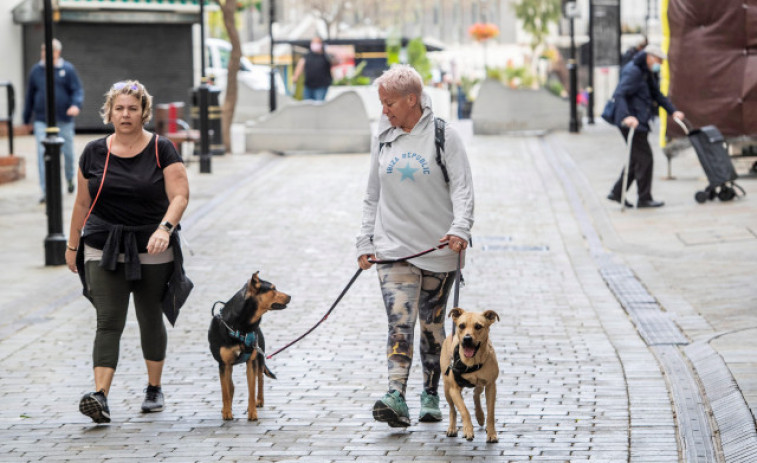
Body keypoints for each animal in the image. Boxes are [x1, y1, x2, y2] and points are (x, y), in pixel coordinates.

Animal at [207, 272, 290, 420]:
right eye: (273, 288)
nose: (290, 296)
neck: (240, 327)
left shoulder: (251, 361)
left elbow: (252, 389)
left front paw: (252, 413)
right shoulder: (223, 364)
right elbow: (225, 391)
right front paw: (227, 412)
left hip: (259, 358)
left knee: (260, 380)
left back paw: (259, 401)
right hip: (230, 365)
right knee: (230, 385)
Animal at [440, 308, 500, 442]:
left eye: (478, 326)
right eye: (461, 326)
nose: (467, 338)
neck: (472, 362)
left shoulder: (491, 385)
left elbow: (491, 413)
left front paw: (491, 433)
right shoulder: (454, 389)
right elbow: (463, 410)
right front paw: (468, 430)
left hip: (481, 384)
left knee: (475, 394)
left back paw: (480, 416)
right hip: (447, 389)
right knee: (452, 408)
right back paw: (452, 428)